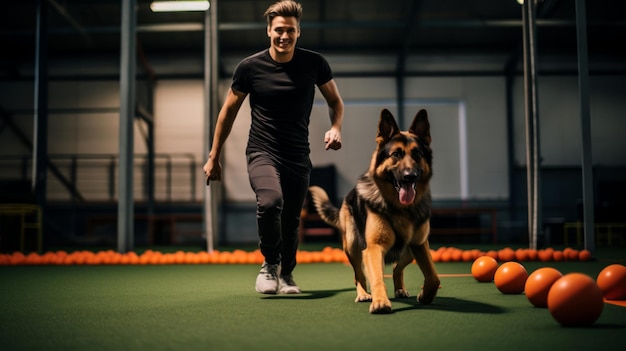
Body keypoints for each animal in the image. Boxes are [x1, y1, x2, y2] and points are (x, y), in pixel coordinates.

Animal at [308, 108, 438, 314]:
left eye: (417, 153)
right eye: (396, 154)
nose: (409, 176)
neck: (400, 208)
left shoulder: (419, 245)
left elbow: (433, 277)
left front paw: (425, 296)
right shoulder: (375, 247)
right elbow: (376, 277)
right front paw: (380, 301)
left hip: (410, 251)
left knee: (396, 268)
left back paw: (399, 288)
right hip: (353, 246)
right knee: (359, 275)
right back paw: (363, 294)